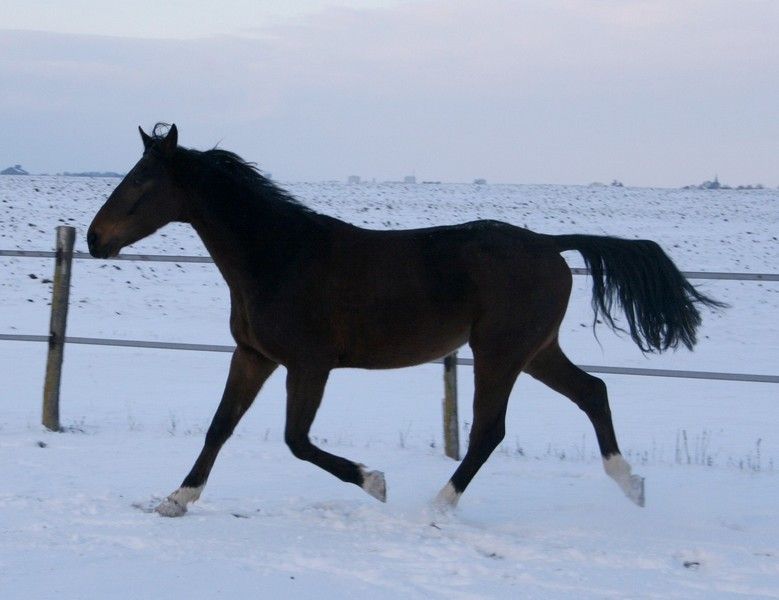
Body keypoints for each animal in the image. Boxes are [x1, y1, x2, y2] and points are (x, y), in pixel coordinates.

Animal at [87, 123, 723, 517]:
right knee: (593, 392)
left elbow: (296, 440)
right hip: (535, 351)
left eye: (142, 181)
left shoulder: (309, 365)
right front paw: (176, 499)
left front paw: (376, 482)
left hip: (498, 353)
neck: (279, 257)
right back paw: (632, 485)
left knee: (490, 431)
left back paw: (436, 508)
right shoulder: (255, 356)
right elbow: (219, 427)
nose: (94, 239)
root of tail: (549, 244)